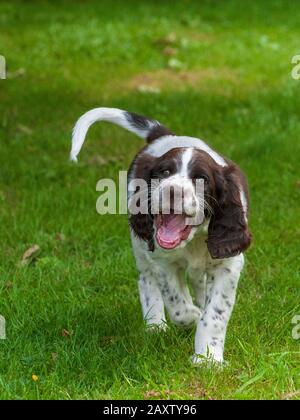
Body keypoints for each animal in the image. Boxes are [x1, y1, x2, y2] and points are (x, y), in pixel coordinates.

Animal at [71, 107, 252, 364]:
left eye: (202, 179)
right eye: (164, 172)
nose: (172, 190)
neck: (194, 239)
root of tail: (165, 136)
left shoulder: (229, 264)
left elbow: (215, 314)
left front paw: (208, 358)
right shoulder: (162, 260)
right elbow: (178, 306)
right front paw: (192, 316)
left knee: (198, 281)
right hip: (140, 245)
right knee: (147, 280)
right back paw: (155, 324)